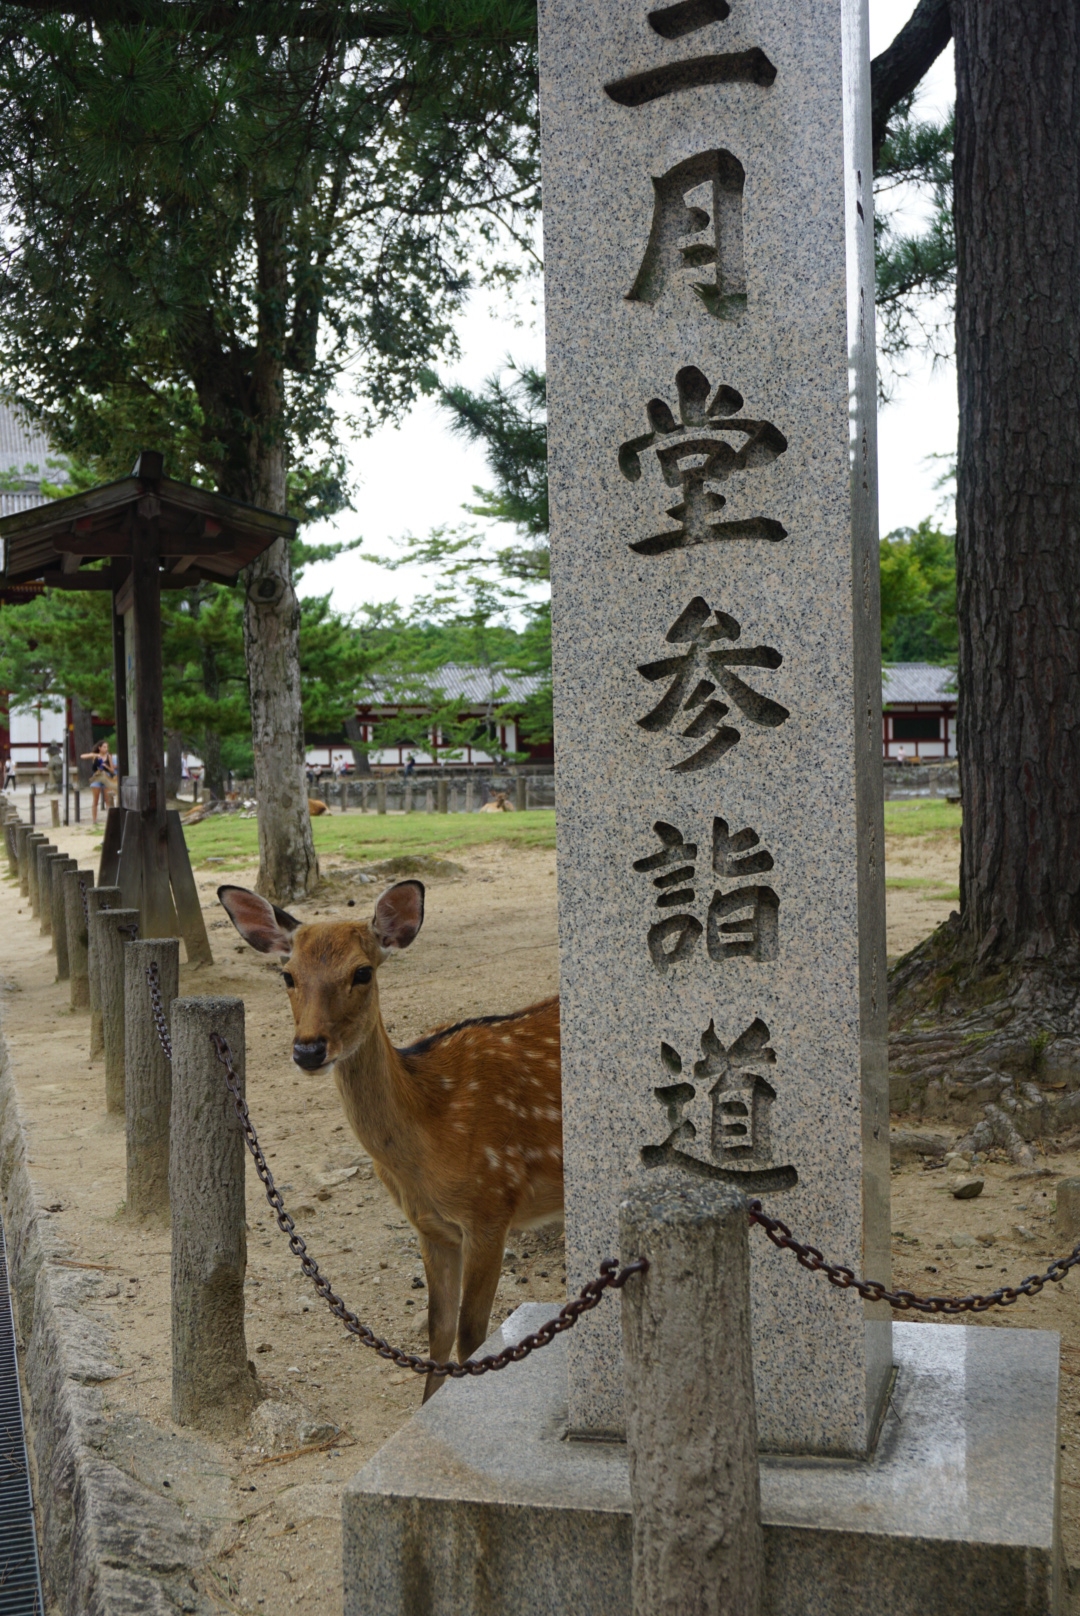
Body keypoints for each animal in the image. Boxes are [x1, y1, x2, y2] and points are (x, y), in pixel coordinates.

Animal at [215, 879, 562, 1396]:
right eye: (288, 975)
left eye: (362, 972)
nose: (308, 1050)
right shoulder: (430, 1226)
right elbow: (438, 1330)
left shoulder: (492, 1209)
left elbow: (472, 1336)